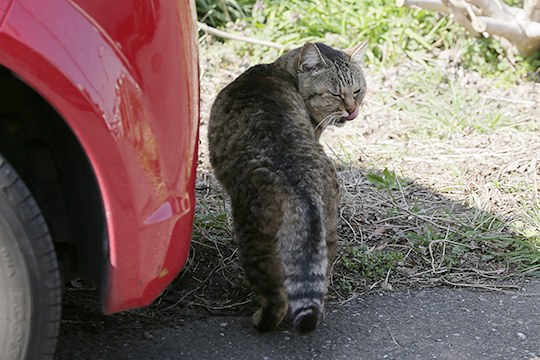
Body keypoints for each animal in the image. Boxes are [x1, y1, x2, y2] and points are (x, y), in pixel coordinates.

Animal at [207, 40, 368, 334]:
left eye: (357, 91)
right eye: (335, 94)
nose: (352, 111)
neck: (280, 71)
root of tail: (299, 180)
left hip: (254, 238)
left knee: (277, 298)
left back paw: (261, 320)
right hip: (327, 232)